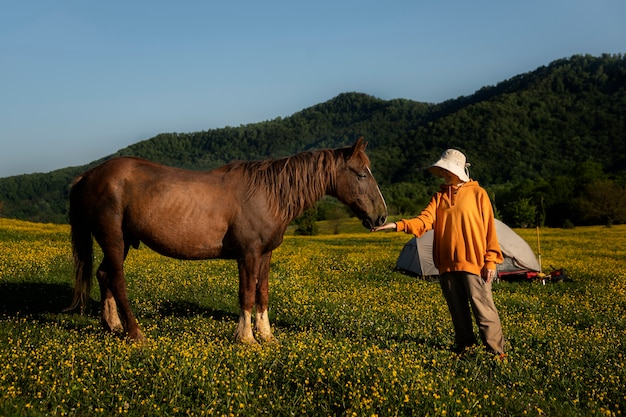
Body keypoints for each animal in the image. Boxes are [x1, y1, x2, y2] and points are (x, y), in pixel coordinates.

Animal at [64, 138, 386, 342]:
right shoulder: (248, 254)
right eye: (361, 174)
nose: (381, 217)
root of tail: (87, 176)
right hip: (114, 240)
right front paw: (246, 338)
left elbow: (262, 293)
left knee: (104, 275)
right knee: (117, 280)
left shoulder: (265, 254)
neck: (268, 194)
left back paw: (112, 326)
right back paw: (134, 332)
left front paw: (267, 335)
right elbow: (246, 294)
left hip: (121, 242)